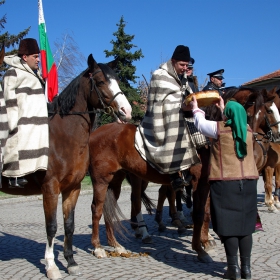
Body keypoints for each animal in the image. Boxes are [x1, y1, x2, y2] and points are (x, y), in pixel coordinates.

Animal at [0, 53, 132, 278]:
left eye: (116, 80)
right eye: (100, 81)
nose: (126, 110)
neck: (65, 139)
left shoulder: (73, 188)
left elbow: (69, 225)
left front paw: (70, 262)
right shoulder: (50, 189)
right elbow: (52, 226)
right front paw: (52, 266)